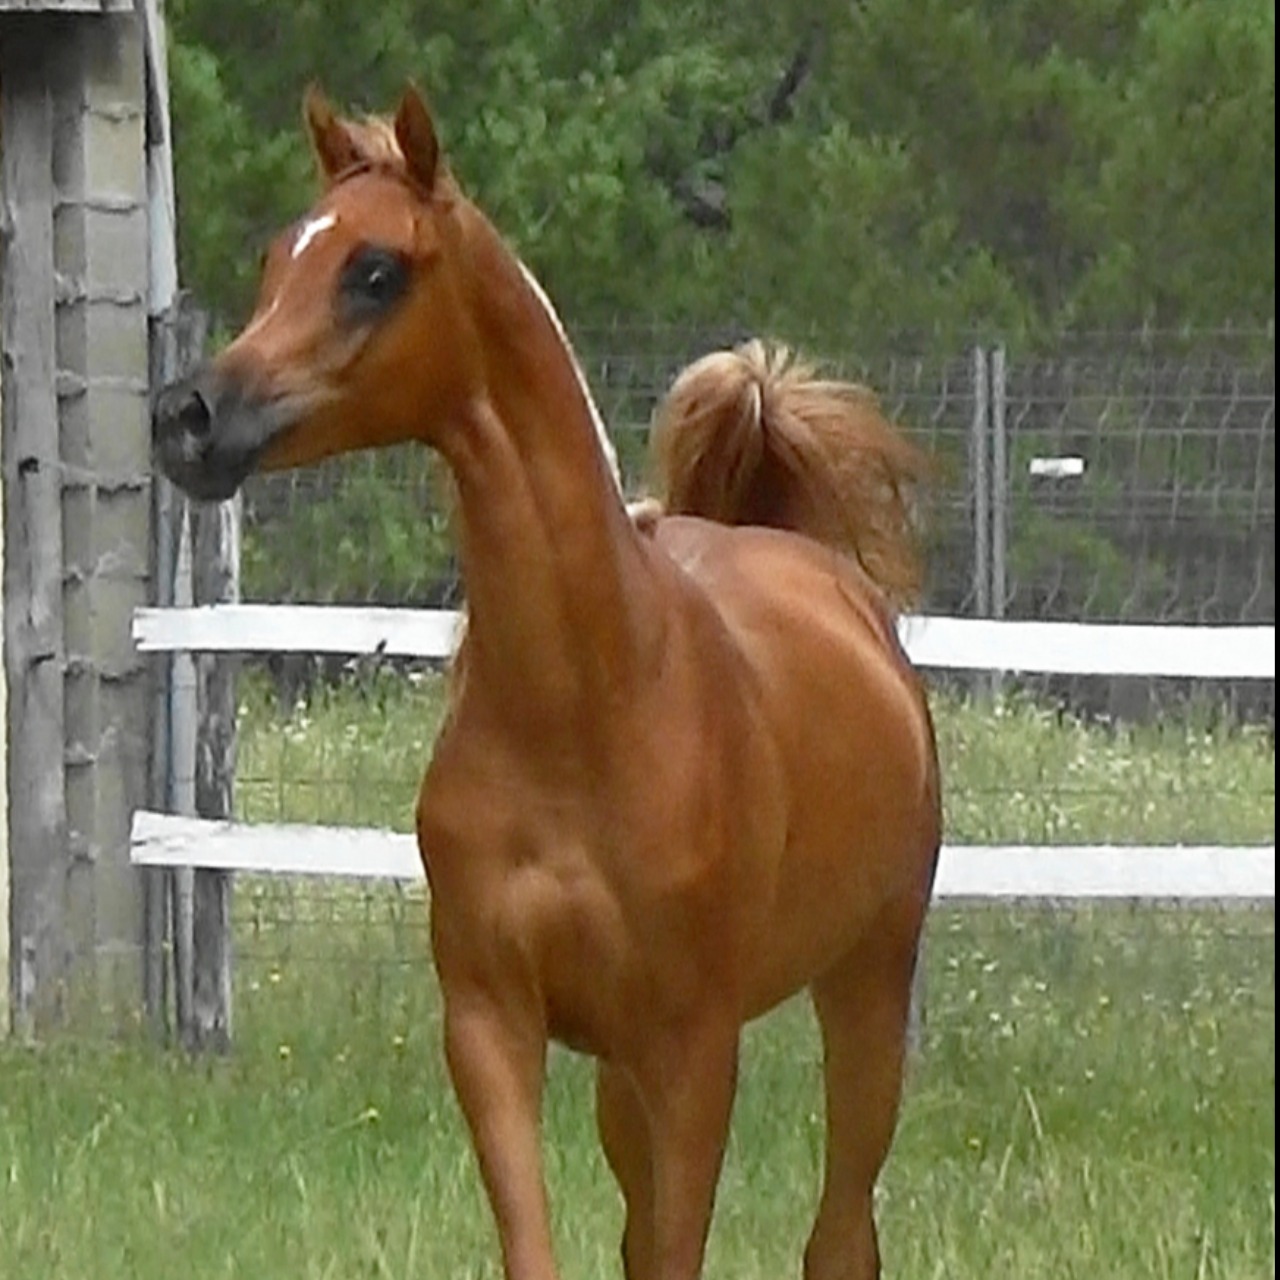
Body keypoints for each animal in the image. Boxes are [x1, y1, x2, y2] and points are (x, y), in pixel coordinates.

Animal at [154, 90, 947, 1280]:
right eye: (273, 258)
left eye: (375, 270)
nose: (188, 417)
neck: (589, 708)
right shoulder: (493, 1022)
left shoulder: (691, 1048)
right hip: (626, 1074)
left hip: (865, 989)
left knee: (842, 1231)